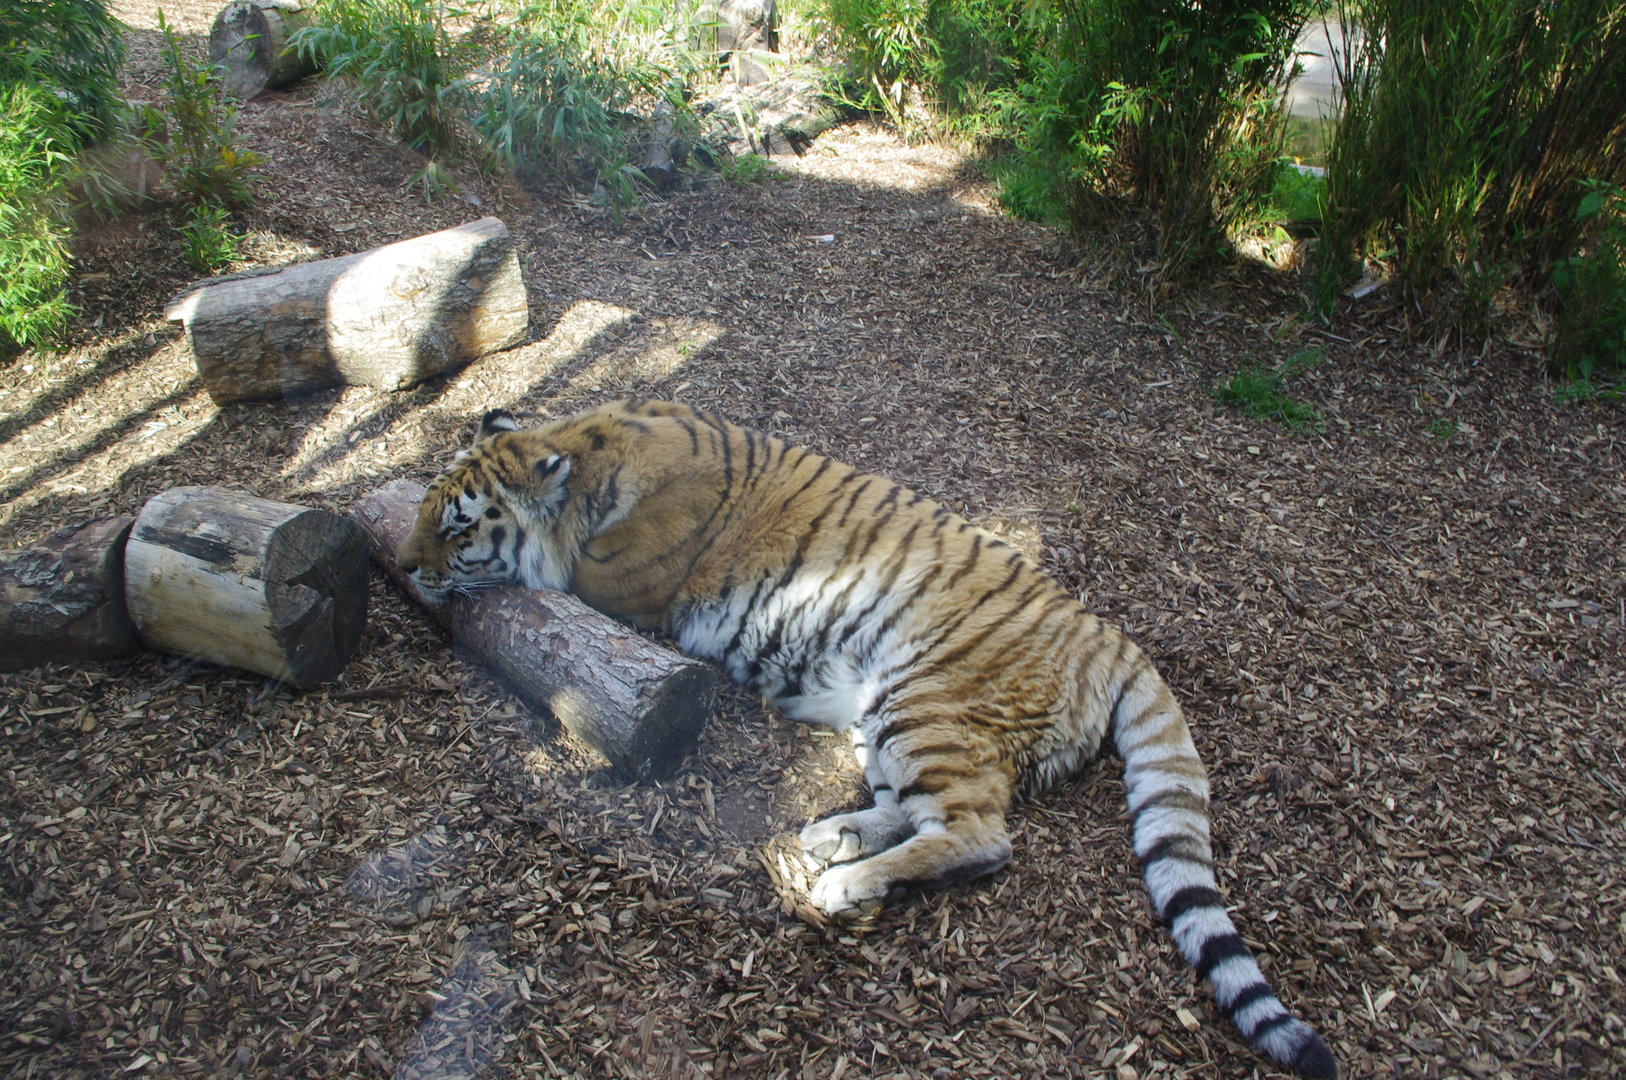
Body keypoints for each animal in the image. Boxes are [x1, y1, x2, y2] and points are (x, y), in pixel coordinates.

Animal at [396, 398, 1338, 1078]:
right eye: (429, 512)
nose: (404, 566)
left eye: (459, 527)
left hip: (925, 701)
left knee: (978, 835)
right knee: (918, 814)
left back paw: (841, 884)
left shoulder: (620, 593)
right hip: (879, 712)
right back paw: (831, 836)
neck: (589, 451)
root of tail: (1113, 636)